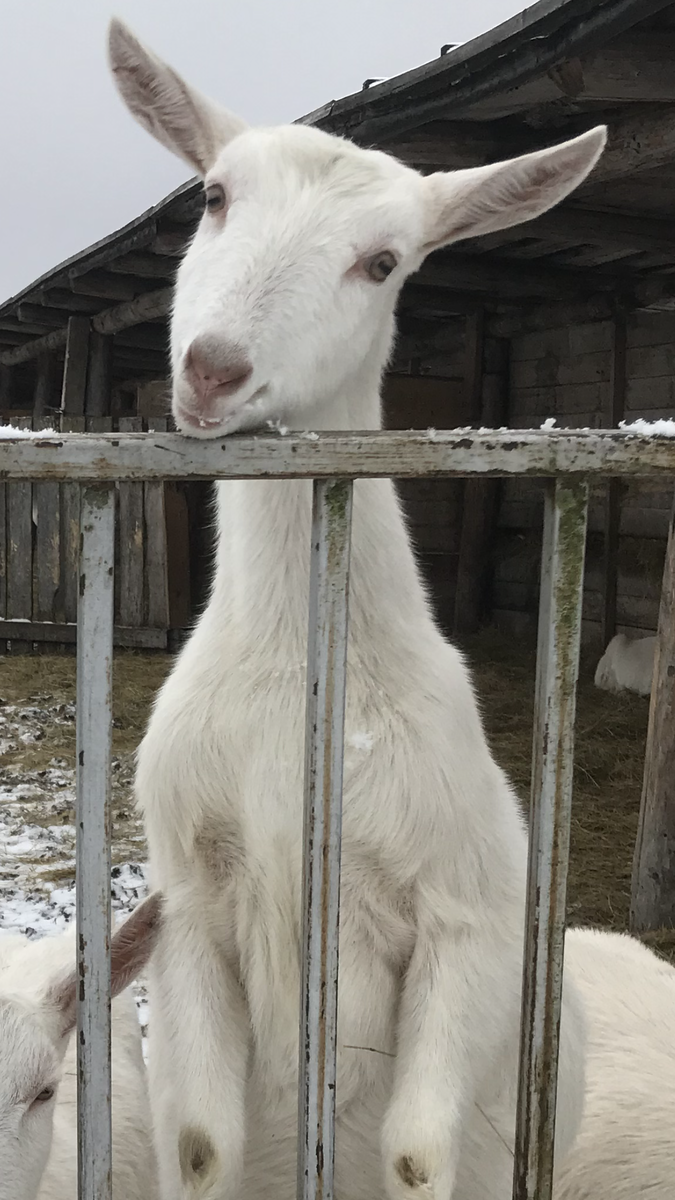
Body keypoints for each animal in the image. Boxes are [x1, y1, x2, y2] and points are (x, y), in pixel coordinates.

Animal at [109, 21, 605, 1200]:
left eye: (385, 263)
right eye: (212, 195)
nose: (212, 369)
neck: (299, 677)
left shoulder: (463, 914)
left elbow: (418, 1156)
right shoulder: (188, 892)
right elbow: (202, 1144)